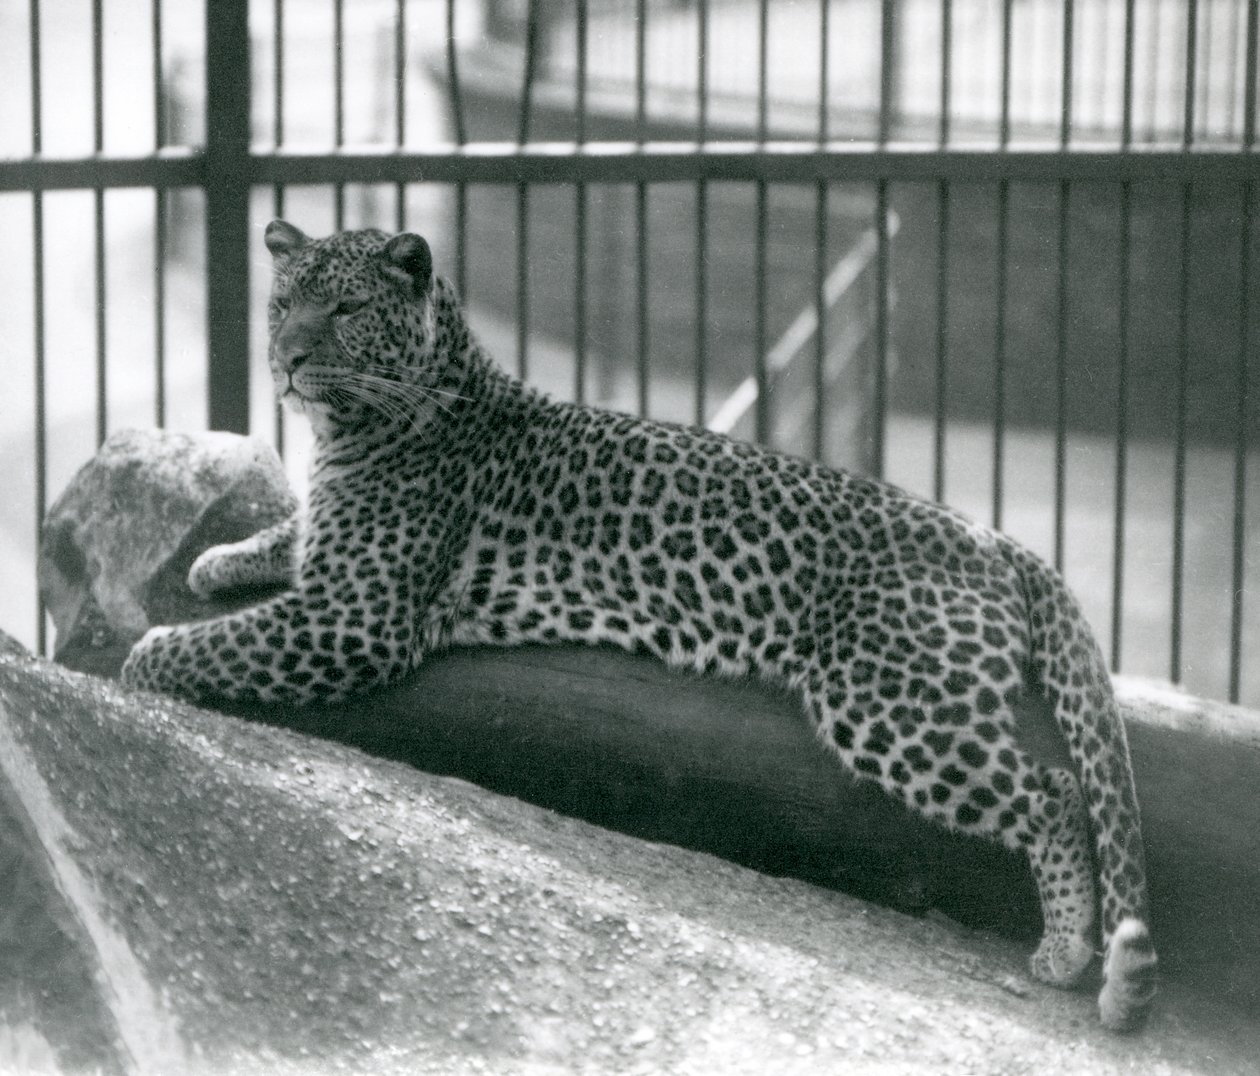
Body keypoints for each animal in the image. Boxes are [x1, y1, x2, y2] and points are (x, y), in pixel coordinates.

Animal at [122, 219, 1157, 1031]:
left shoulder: (359, 616)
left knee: (1055, 791)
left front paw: (140, 664)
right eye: (282, 303)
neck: (357, 426)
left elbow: (211, 642)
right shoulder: (333, 574)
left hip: (890, 701)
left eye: (341, 311)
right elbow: (285, 540)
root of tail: (992, 537)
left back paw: (1067, 951)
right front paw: (222, 556)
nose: (287, 360)